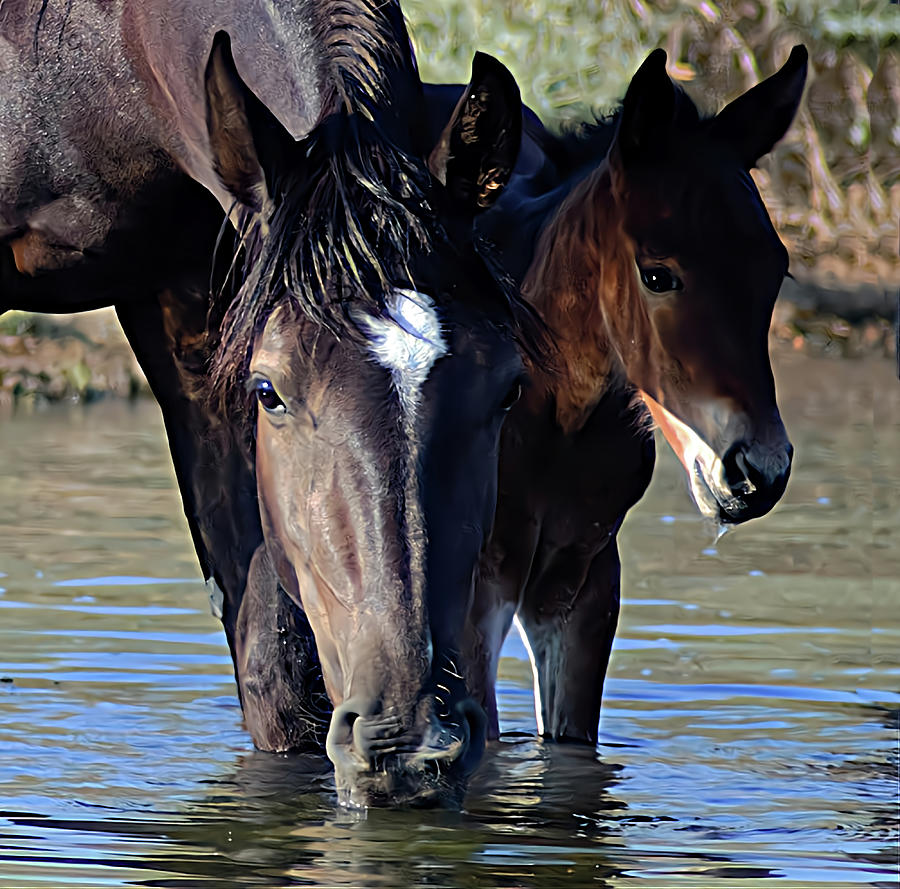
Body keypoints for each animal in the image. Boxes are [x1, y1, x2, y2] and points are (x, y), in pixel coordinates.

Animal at [450, 46, 808, 744]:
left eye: (775, 270)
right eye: (657, 274)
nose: (758, 471)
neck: (553, 421)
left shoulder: (581, 589)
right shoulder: (476, 588)